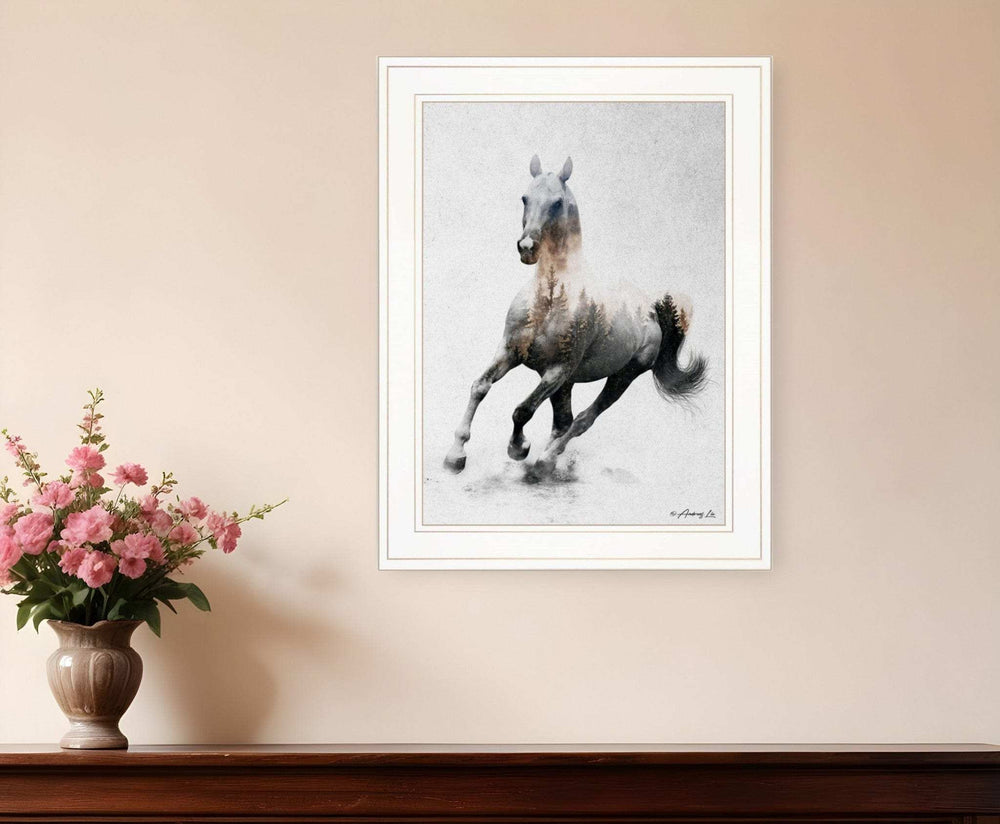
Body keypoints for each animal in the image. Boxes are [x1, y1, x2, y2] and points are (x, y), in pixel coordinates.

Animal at [443, 154, 707, 479]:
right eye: (525, 198)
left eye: (557, 202)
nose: (527, 248)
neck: (548, 302)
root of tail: (652, 310)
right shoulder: (510, 352)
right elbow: (479, 387)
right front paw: (455, 455)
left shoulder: (557, 370)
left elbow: (523, 410)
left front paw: (519, 448)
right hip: (567, 384)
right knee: (564, 422)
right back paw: (544, 463)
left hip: (621, 376)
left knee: (582, 420)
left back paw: (544, 462)